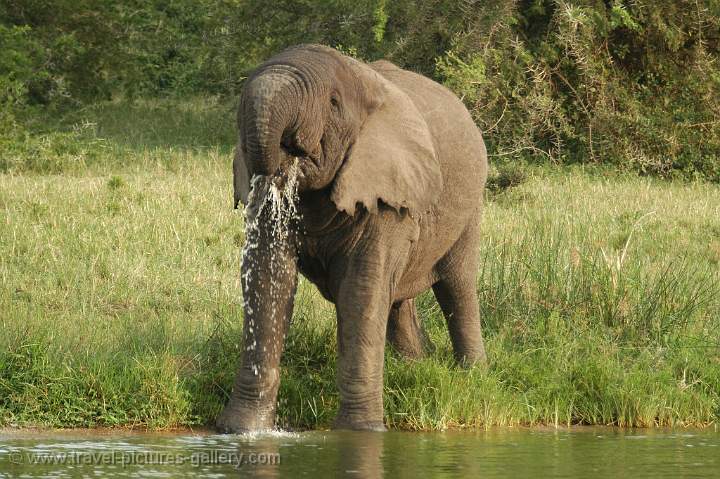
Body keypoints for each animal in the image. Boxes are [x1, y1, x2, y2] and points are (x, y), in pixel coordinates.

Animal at [218, 46, 490, 436]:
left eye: (333, 103)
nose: (287, 147)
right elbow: (269, 280)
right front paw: (242, 431)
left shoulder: (385, 186)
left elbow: (360, 289)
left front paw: (360, 432)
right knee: (397, 296)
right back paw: (414, 366)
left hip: (469, 204)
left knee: (457, 284)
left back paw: (473, 374)